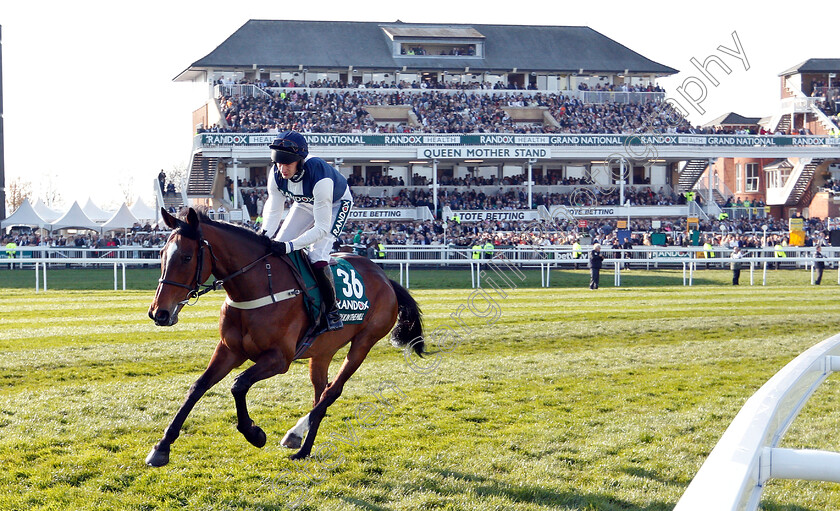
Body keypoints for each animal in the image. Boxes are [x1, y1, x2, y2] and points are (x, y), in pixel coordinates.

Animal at [144, 209, 424, 468]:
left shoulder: (279, 359)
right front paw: (161, 447)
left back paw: (297, 439)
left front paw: (254, 433)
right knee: (320, 392)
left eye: (187, 257)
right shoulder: (228, 350)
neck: (257, 286)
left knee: (332, 391)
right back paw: (301, 444)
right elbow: (198, 387)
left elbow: (238, 384)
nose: (159, 313)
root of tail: (385, 278)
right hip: (323, 351)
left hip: (364, 342)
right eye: (161, 255)